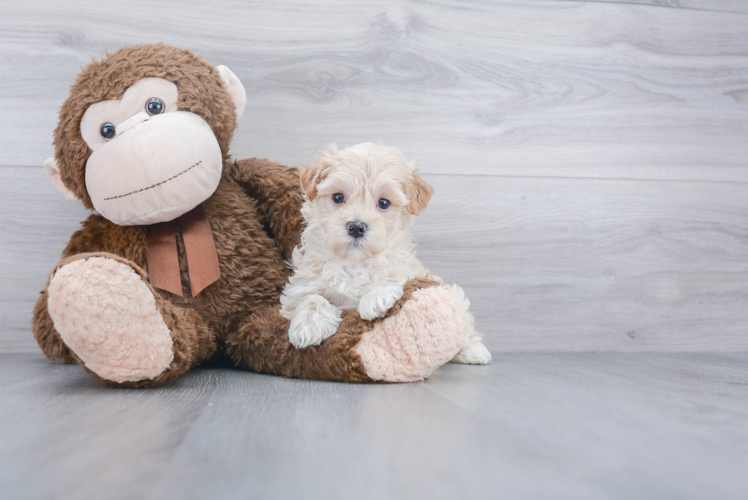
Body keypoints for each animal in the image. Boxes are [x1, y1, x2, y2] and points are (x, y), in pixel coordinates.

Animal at [280, 143, 490, 366]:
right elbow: (310, 297)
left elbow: (390, 277)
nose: (356, 227)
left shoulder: (409, 271)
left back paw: (473, 351)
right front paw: (308, 325)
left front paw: (376, 297)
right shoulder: (299, 287)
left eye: (383, 203)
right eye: (338, 197)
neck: (355, 261)